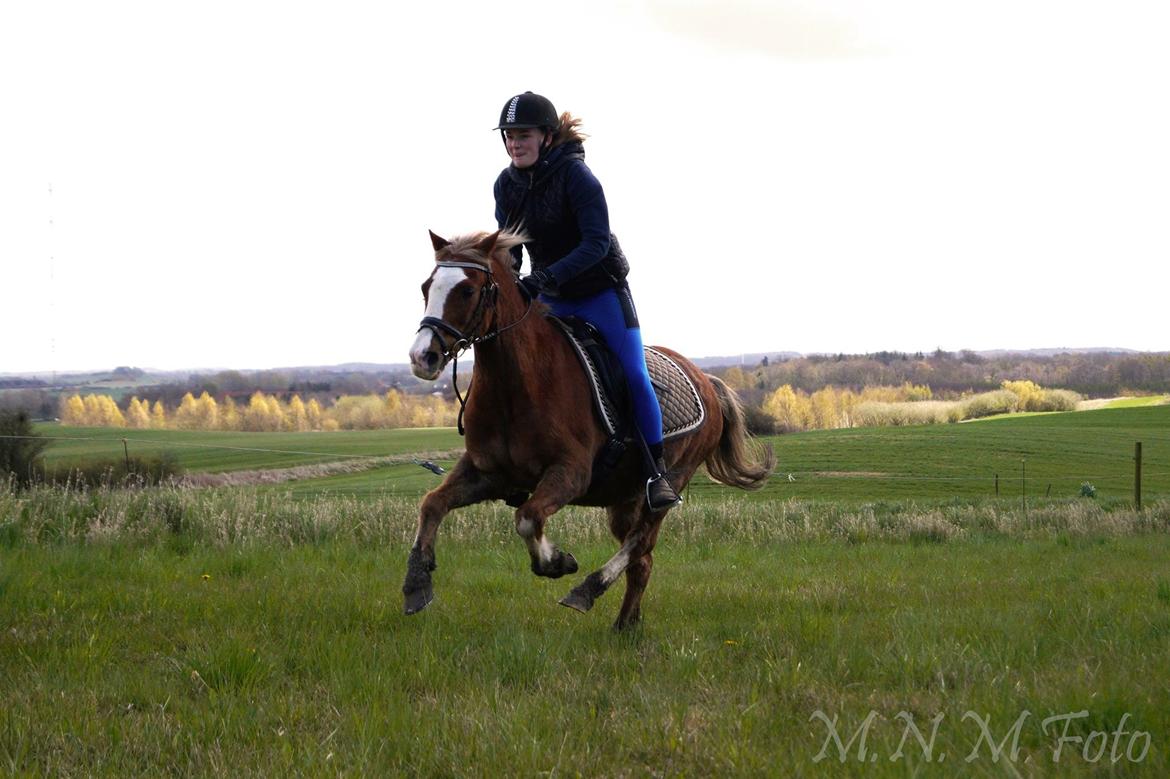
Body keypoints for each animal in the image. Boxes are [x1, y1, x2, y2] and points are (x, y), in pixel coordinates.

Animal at [407, 228, 772, 626]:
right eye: (426, 287)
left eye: (467, 290)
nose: (422, 357)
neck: (515, 384)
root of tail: (707, 380)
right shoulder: (487, 473)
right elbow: (432, 503)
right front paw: (417, 582)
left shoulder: (571, 473)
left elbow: (527, 517)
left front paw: (557, 562)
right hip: (623, 498)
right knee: (642, 560)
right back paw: (625, 625)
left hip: (671, 481)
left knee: (639, 541)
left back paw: (588, 590)